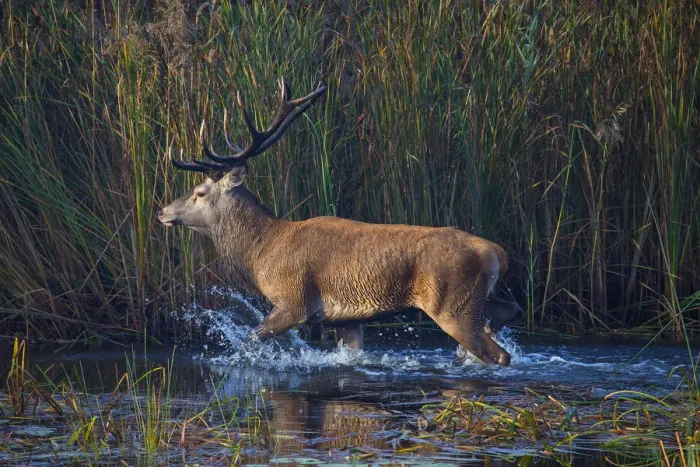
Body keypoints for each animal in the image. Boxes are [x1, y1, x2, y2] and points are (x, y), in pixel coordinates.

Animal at [158, 79, 523, 366]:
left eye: (199, 192)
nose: (162, 211)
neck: (261, 252)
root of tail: (497, 252)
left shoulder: (293, 300)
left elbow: (251, 338)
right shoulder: (344, 320)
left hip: (451, 304)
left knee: (498, 354)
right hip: (478, 297)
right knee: (510, 308)